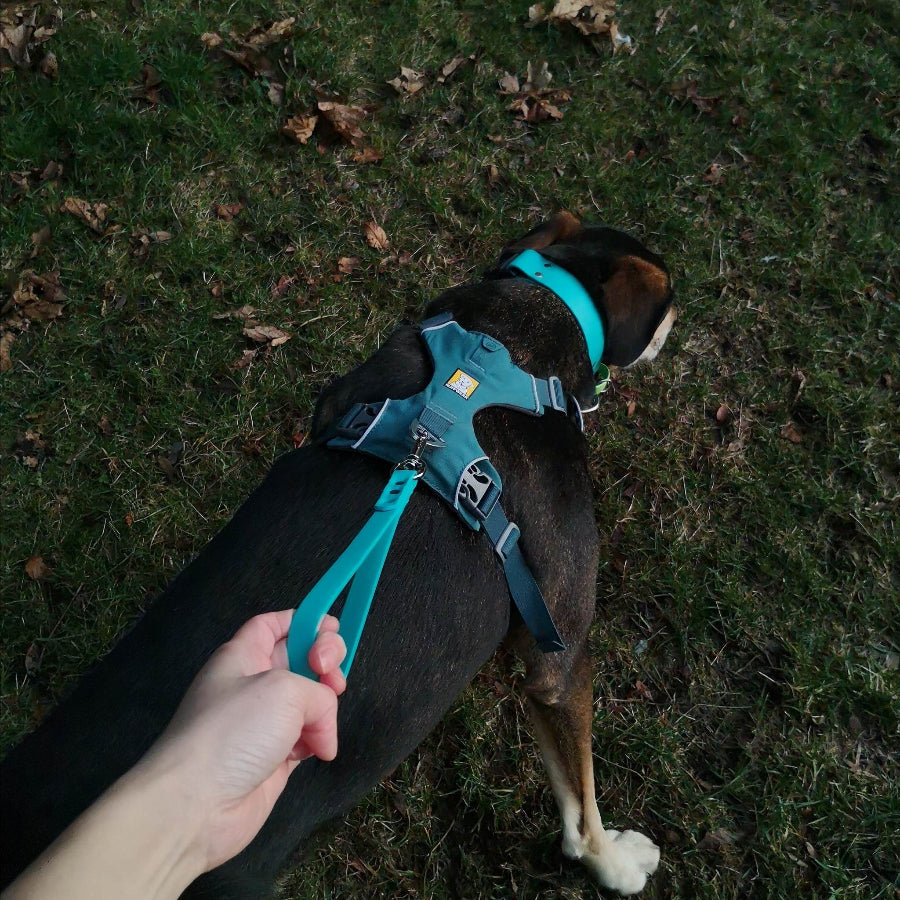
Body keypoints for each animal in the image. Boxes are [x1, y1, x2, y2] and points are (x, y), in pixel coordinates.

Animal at [0, 214, 676, 896]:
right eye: (670, 303)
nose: (679, 323)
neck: (516, 338)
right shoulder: (558, 659)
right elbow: (581, 801)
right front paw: (613, 865)